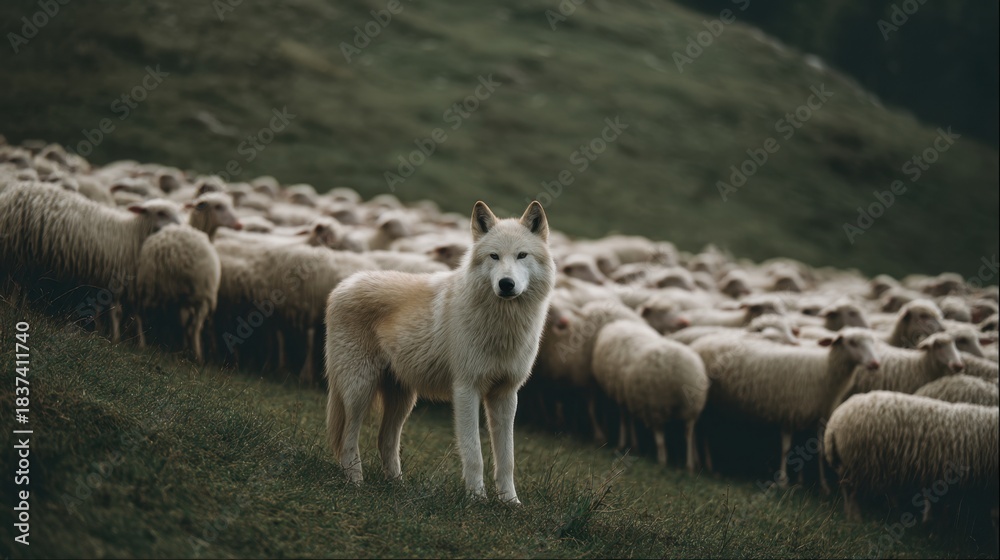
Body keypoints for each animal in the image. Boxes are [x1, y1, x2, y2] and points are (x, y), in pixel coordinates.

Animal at [0, 181, 183, 342]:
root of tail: (9, 194)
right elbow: (115, 311)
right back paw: (11, 308)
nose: (179, 227)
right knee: (16, 284)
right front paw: (114, 339)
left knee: (22, 285)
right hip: (17, 251)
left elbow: (101, 311)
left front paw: (100, 332)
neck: (131, 235)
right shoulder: (113, 278)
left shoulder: (101, 279)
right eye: (161, 213)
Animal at [324, 200, 555, 504]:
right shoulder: (466, 390)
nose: (506, 284)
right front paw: (476, 499)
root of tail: (341, 286)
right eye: (494, 256)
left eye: (521, 255)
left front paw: (510, 502)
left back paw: (397, 486)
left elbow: (507, 458)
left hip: (403, 399)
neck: (503, 325)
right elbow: (474, 453)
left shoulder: (505, 395)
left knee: (385, 439)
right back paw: (355, 482)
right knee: (349, 438)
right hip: (359, 390)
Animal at [592, 318, 710, 472]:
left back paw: (662, 460)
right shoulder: (629, 396)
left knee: (660, 436)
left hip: (656, 405)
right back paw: (689, 466)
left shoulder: (639, 402)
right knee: (688, 433)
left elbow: (626, 419)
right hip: (690, 408)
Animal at [690, 328, 881, 491]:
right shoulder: (788, 412)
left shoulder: (815, 416)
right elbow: (786, 449)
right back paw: (702, 463)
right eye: (852, 343)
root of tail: (702, 340)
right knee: (700, 430)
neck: (825, 370)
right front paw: (782, 481)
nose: (875, 364)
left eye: (872, 342)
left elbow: (818, 451)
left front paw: (821, 485)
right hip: (706, 400)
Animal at [824, 391, 998, 523]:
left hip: (850, 465)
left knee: (847, 491)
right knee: (852, 494)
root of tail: (834, 422)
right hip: (859, 465)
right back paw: (856, 518)